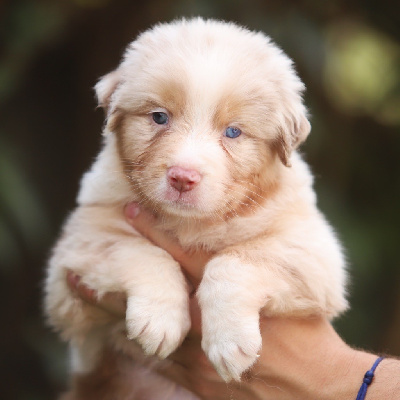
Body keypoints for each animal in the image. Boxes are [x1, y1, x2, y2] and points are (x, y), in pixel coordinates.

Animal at [45, 16, 348, 396]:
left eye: (233, 132)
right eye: (159, 117)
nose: (182, 177)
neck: (192, 223)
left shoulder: (312, 249)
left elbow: (234, 260)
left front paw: (230, 344)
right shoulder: (77, 251)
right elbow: (141, 251)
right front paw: (159, 321)